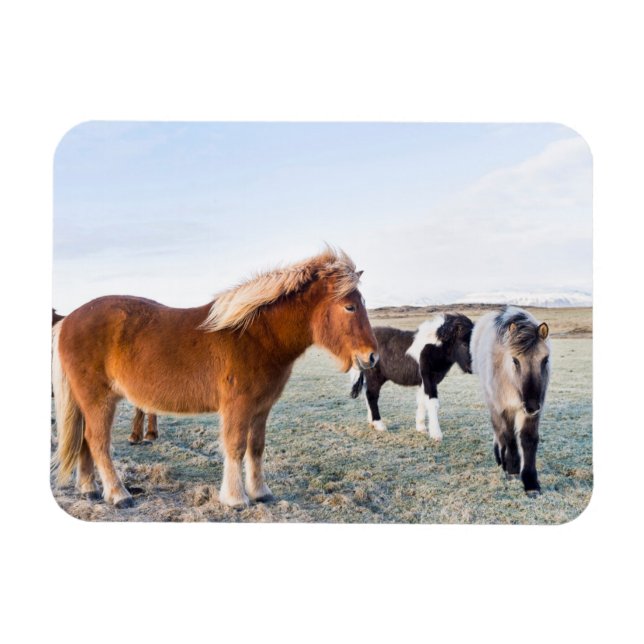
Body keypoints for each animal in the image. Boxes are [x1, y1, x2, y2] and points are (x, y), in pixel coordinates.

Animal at [470, 306, 551, 496]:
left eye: (545, 360)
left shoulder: (532, 413)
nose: (531, 405)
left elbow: (528, 439)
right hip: (492, 400)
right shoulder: (505, 408)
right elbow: (510, 437)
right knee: (498, 430)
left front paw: (531, 482)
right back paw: (501, 459)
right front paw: (513, 469)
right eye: (515, 360)